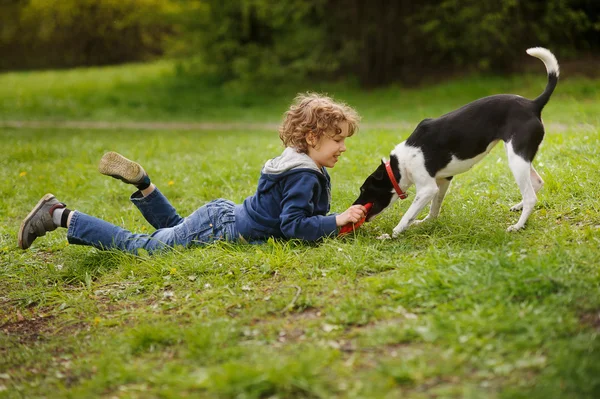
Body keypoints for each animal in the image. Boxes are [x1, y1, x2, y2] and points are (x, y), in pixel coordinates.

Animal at [354, 48, 560, 239]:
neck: (399, 166)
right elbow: (434, 208)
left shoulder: (427, 189)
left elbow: (408, 216)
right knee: (537, 182)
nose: (353, 206)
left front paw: (393, 234)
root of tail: (533, 104)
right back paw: (518, 206)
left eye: (364, 189)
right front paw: (427, 222)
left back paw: (518, 226)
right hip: (520, 156)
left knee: (531, 196)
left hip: (516, 159)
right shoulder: (443, 180)